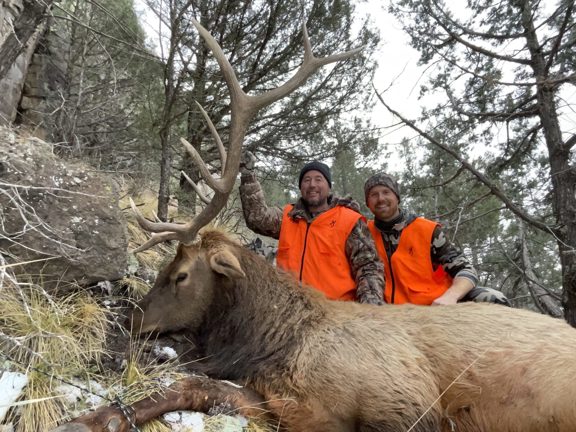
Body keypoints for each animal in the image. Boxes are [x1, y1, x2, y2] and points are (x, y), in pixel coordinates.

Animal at [127, 16, 576, 432]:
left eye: (181, 274)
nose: (133, 318)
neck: (275, 347)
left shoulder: (405, 401)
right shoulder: (283, 402)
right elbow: (191, 388)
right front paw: (114, 415)